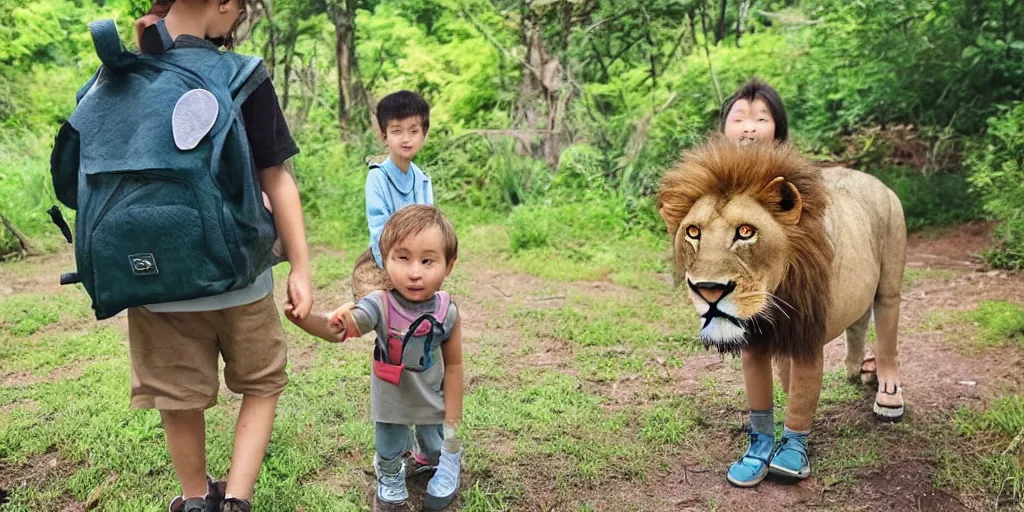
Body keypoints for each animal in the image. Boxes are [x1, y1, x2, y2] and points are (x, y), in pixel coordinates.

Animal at [655, 135, 905, 483]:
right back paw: (854, 369)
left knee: (886, 332)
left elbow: (801, 403)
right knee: (857, 323)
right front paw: (754, 458)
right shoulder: (756, 343)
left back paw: (887, 392)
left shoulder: (808, 338)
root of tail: (871, 178)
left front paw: (789, 456)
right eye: (693, 232)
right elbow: (762, 402)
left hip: (890, 277)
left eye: (746, 232)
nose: (708, 290)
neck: (774, 300)